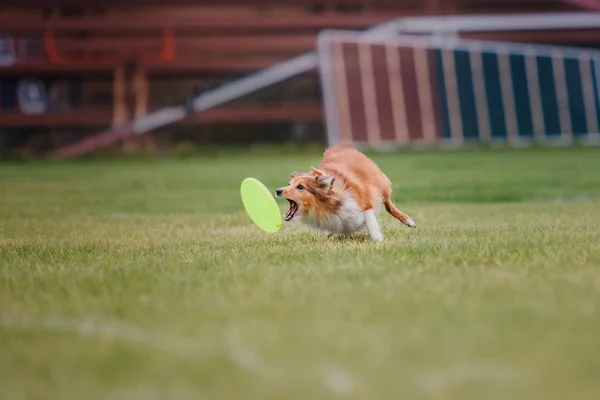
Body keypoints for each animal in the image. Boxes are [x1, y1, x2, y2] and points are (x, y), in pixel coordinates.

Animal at [274, 145, 414, 242]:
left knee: (389, 205)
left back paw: (408, 220)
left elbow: (371, 223)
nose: (278, 191)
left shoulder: (363, 203)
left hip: (381, 185)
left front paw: (378, 240)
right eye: (289, 184)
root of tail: (341, 147)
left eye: (300, 187)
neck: (327, 205)